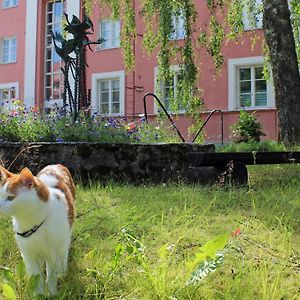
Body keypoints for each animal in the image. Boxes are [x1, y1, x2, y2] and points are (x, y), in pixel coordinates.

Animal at [0, 165, 75, 296]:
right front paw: (39, 294)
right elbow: (36, 276)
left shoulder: (53, 255)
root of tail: (56, 164)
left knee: (64, 252)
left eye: (10, 198)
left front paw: (52, 293)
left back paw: (63, 271)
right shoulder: (29, 255)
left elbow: (51, 276)